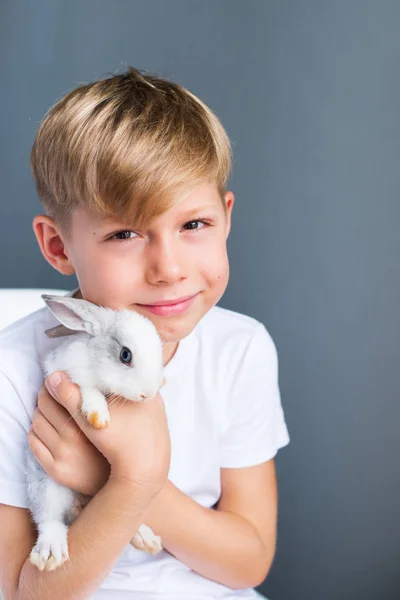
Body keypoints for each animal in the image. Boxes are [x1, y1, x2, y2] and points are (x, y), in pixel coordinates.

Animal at [25, 296, 166, 572]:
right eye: (125, 355)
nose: (148, 393)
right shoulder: (67, 371)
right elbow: (87, 390)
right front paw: (98, 416)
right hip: (46, 485)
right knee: (49, 520)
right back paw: (50, 553)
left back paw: (145, 537)